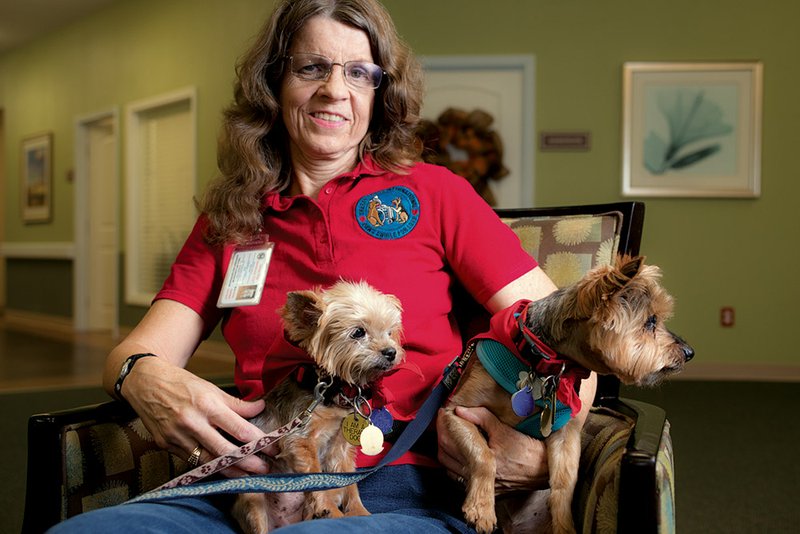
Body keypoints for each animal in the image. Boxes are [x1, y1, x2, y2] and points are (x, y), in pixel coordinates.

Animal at [231, 282, 406, 532]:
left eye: (390, 332)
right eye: (358, 332)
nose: (391, 352)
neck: (335, 391)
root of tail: (283, 522)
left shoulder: (341, 448)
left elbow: (348, 483)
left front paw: (359, 512)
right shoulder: (300, 438)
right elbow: (315, 475)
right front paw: (328, 508)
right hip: (252, 500)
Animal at [440, 256, 696, 534]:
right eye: (650, 321)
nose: (689, 352)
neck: (540, 364)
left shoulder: (565, 435)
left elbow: (565, 484)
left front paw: (564, 526)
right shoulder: (455, 410)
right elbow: (483, 454)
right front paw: (482, 509)